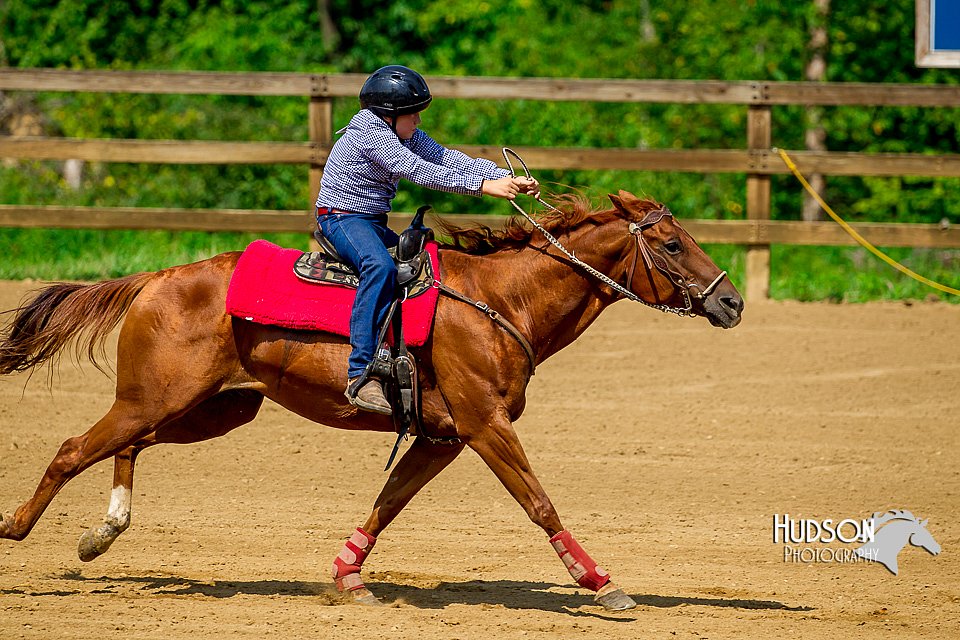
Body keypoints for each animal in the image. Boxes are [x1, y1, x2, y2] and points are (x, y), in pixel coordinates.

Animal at [0, 190, 744, 608]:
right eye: (672, 242)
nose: (733, 302)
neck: (501, 301)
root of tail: (158, 277)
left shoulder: (444, 437)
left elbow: (390, 503)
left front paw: (348, 575)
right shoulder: (485, 425)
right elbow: (539, 502)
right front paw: (601, 583)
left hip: (211, 408)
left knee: (126, 445)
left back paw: (103, 534)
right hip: (158, 400)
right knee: (72, 449)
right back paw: (17, 530)